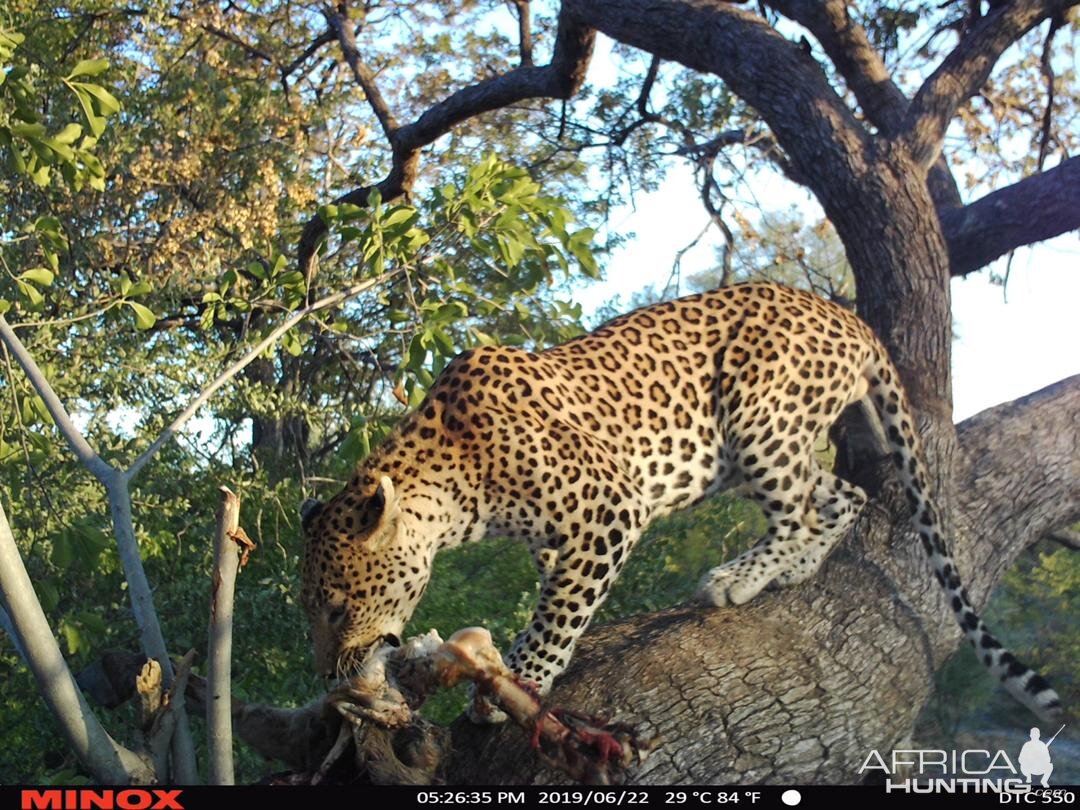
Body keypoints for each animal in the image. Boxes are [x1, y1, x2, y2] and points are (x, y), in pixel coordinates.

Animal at [300, 282, 1058, 721]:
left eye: (336, 607)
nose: (332, 678)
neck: (450, 486)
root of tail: (846, 315)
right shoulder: (559, 538)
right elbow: (558, 596)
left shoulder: (608, 507)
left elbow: (559, 613)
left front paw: (524, 679)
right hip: (753, 447)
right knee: (844, 491)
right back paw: (796, 570)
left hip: (757, 412)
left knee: (800, 509)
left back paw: (738, 579)